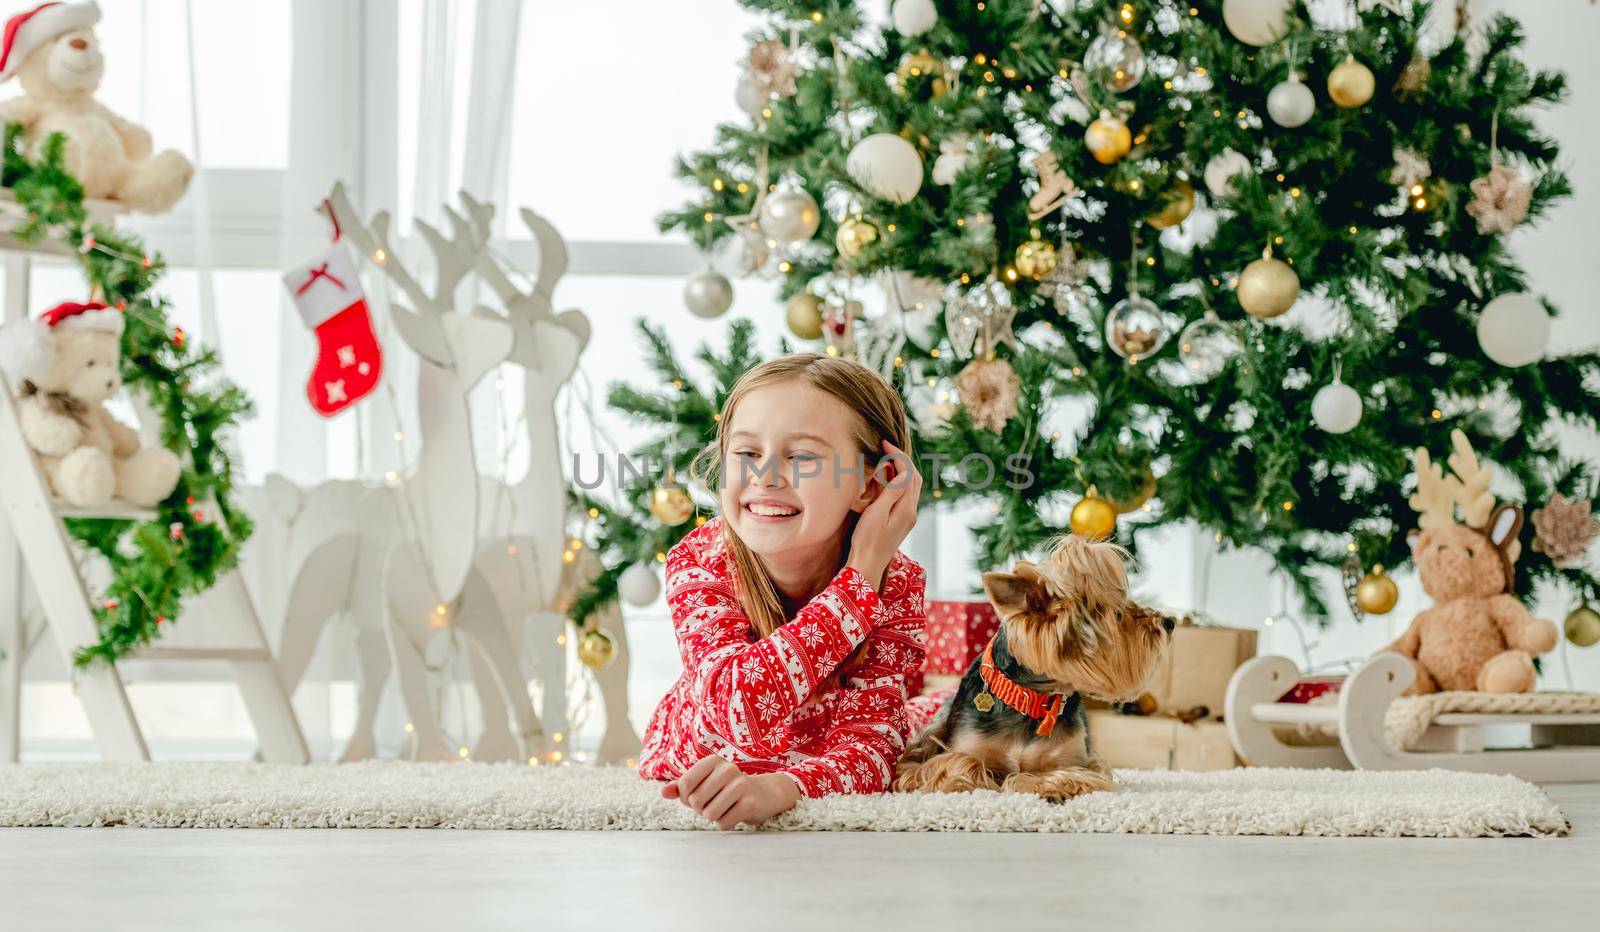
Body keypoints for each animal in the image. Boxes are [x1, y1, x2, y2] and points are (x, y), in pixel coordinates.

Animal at [896, 538, 1171, 800]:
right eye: (1116, 613)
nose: (1168, 621)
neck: (1031, 700)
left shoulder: (1080, 759)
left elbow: (1069, 773)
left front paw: (1051, 786)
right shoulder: (960, 747)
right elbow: (961, 762)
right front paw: (963, 783)